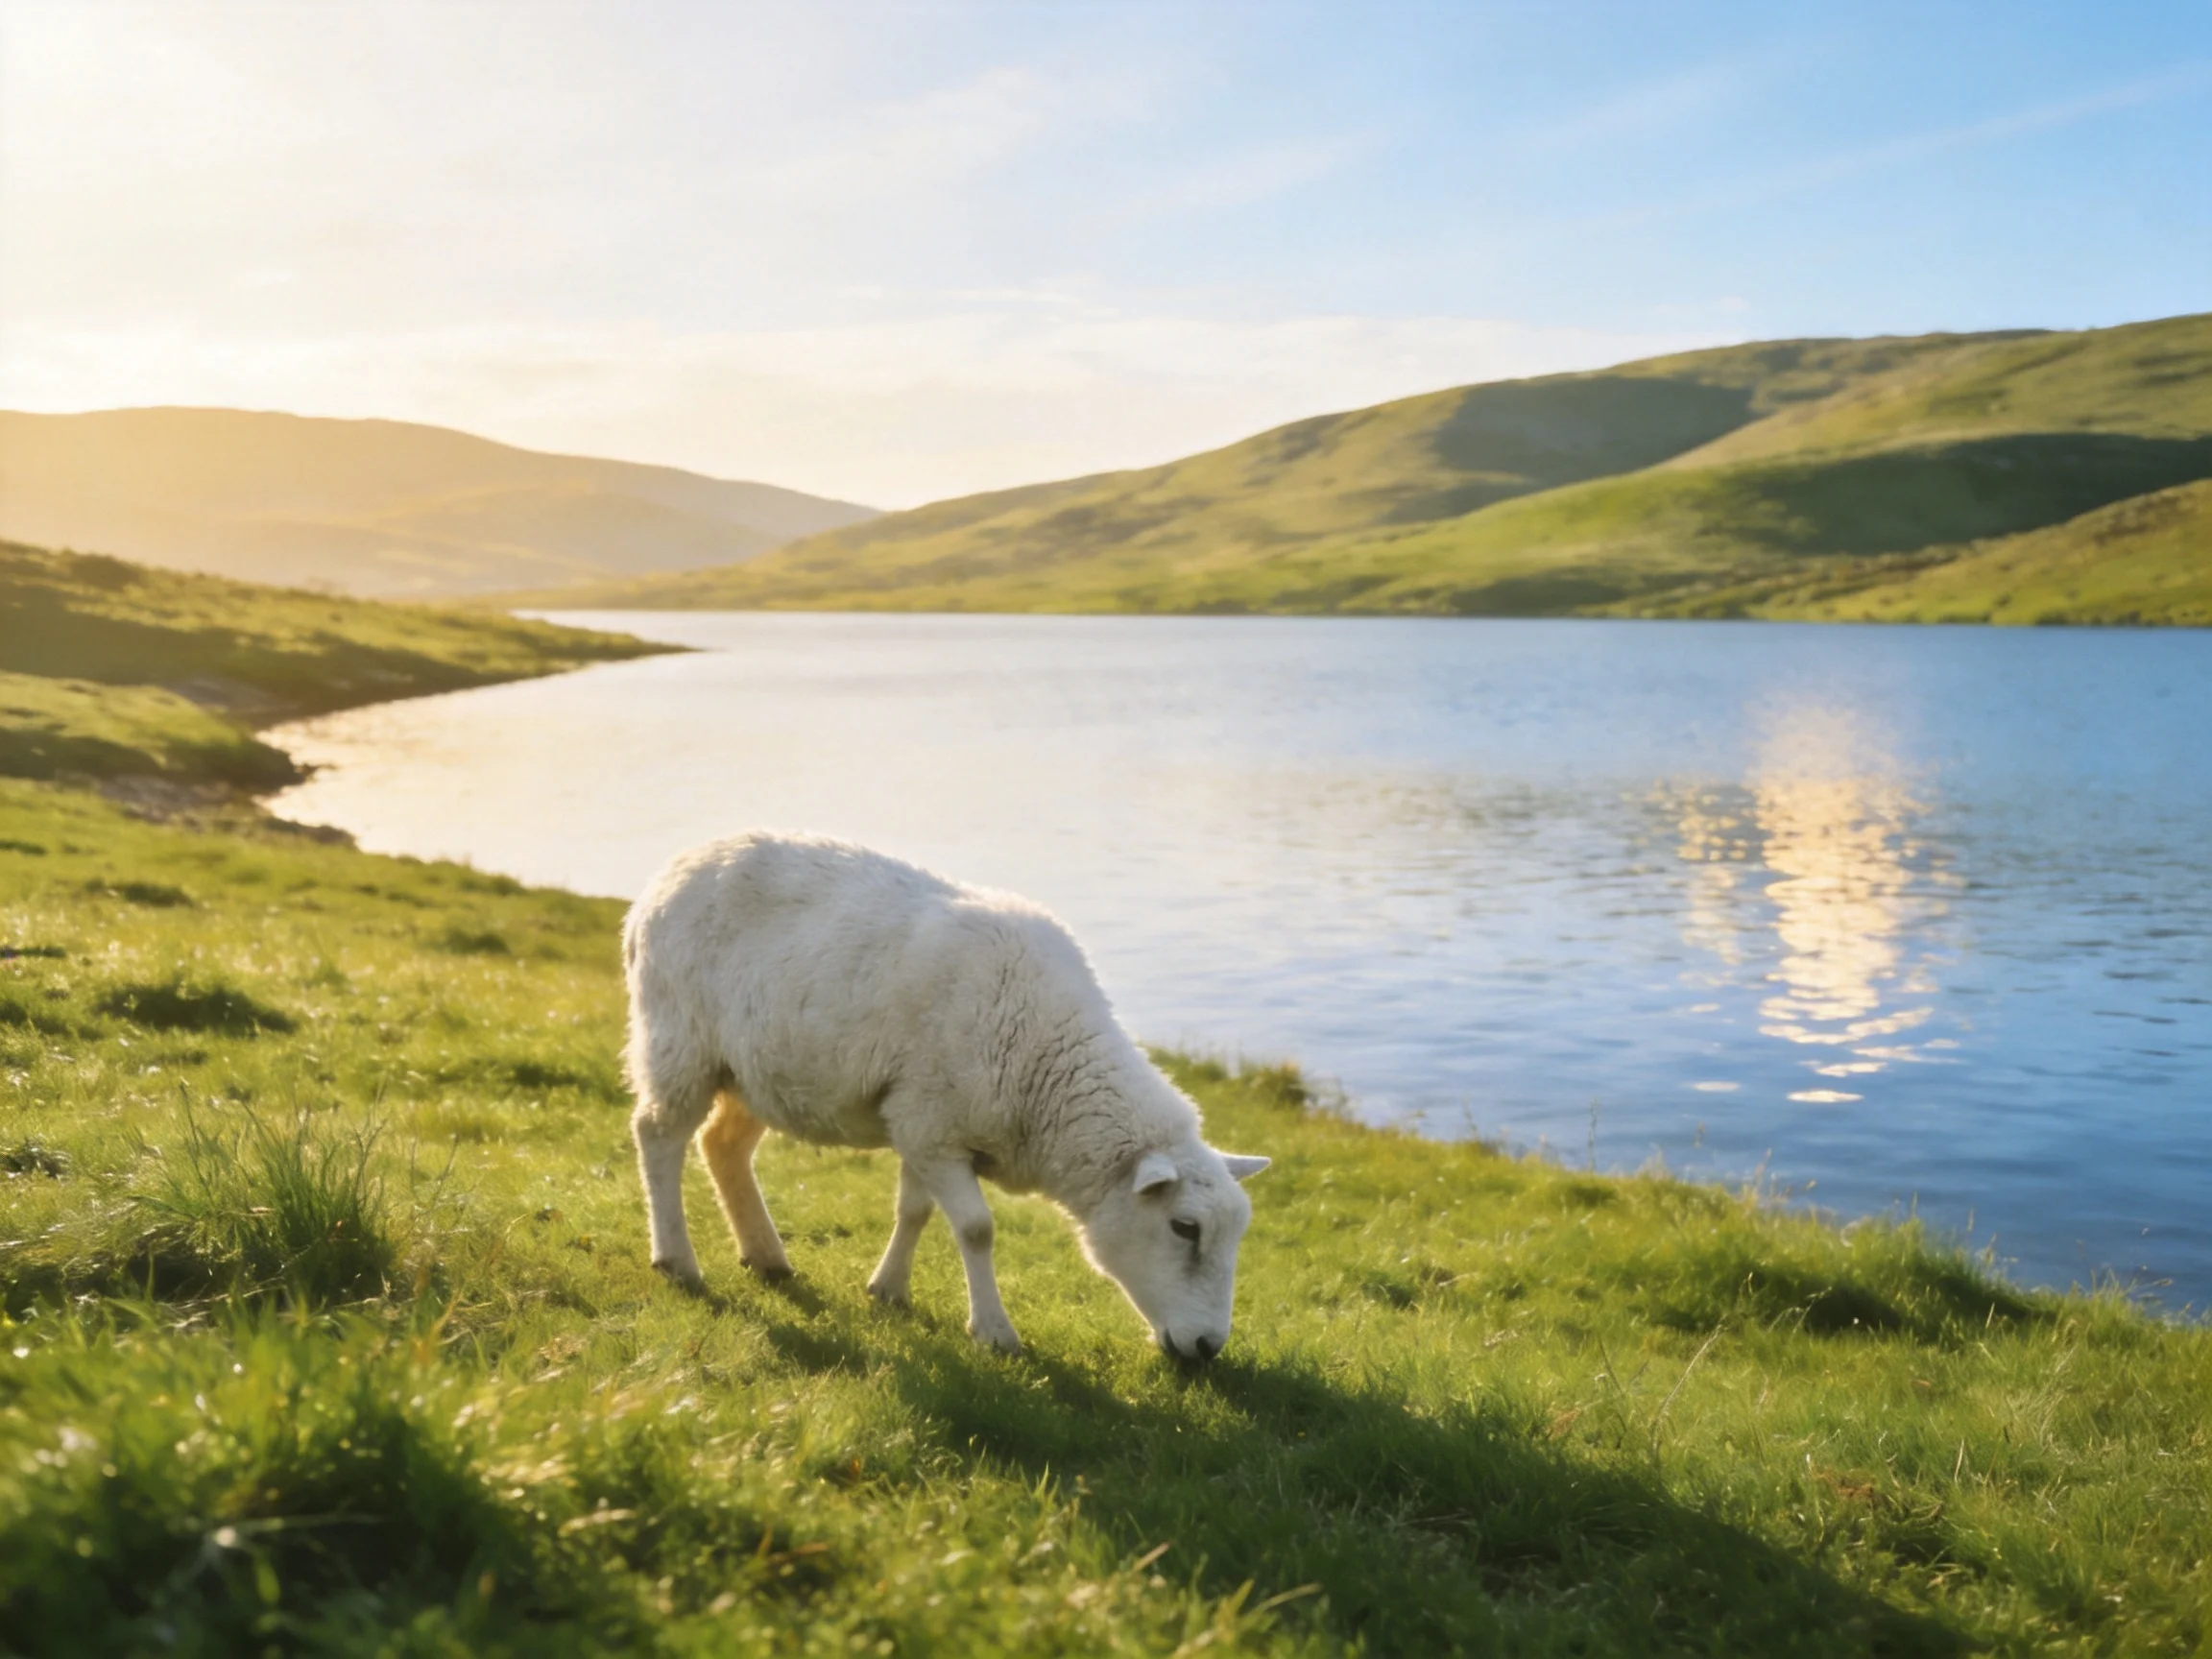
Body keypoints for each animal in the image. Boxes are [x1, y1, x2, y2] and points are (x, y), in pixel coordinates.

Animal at [622, 832, 1269, 1360]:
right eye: (1184, 1228)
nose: (1208, 1349)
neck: (1046, 1063)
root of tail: (664, 877)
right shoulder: (932, 1125)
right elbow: (978, 1229)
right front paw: (994, 1331)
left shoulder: (923, 1122)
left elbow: (915, 1210)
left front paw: (888, 1290)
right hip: (679, 1037)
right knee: (657, 1135)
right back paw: (677, 1262)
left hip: (753, 1071)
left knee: (722, 1145)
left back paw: (766, 1256)